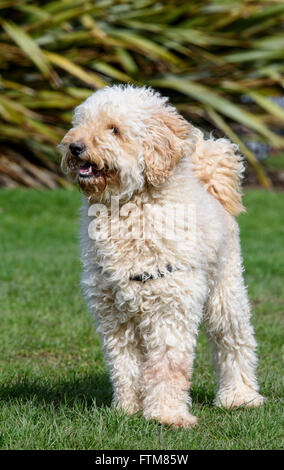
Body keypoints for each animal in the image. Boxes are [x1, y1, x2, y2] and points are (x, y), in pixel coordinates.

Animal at [58, 82, 266, 428]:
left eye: (114, 129)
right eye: (82, 123)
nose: (74, 147)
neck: (130, 207)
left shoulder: (171, 305)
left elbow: (169, 366)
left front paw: (166, 415)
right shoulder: (113, 314)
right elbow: (125, 367)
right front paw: (128, 409)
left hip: (226, 292)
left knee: (234, 343)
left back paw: (240, 396)